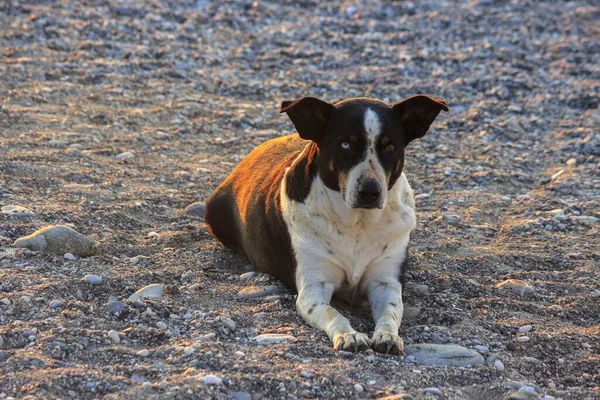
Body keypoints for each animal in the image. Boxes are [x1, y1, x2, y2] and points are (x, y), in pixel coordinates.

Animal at [205, 95, 446, 354]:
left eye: (390, 146)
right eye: (345, 144)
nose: (370, 191)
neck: (357, 224)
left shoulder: (385, 283)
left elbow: (389, 313)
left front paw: (388, 336)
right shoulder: (313, 289)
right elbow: (334, 313)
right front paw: (350, 335)